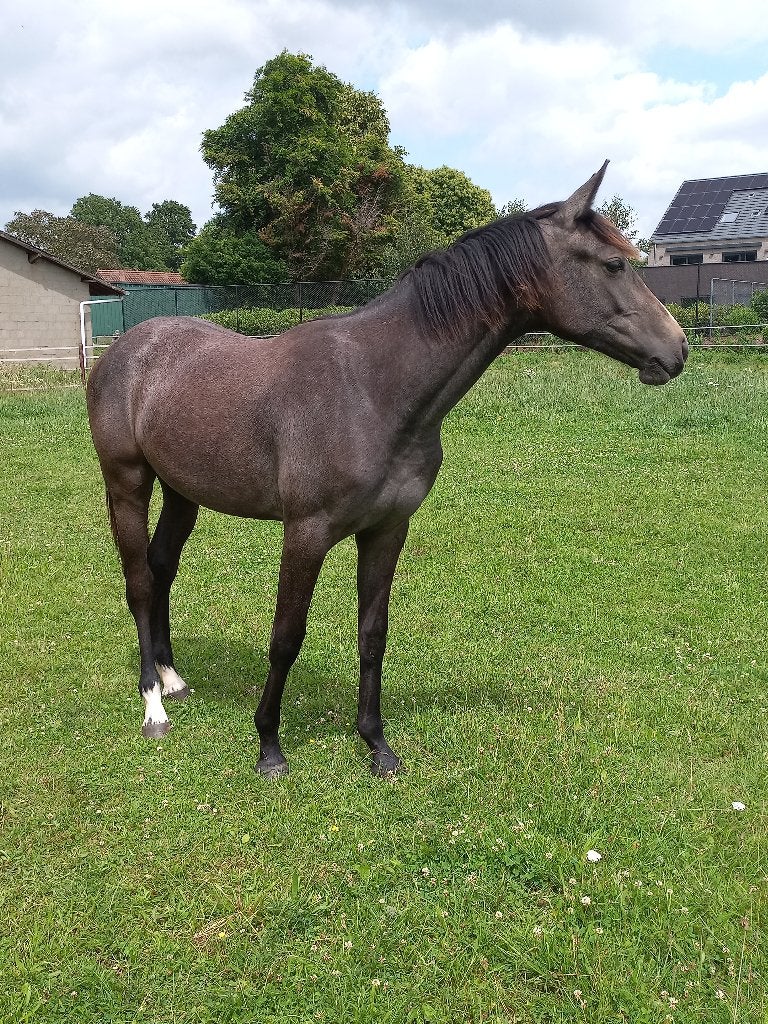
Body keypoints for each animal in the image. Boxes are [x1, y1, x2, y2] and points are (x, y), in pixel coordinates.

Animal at [86, 162, 687, 777]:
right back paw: (153, 706)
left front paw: (376, 744)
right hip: (127, 482)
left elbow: (373, 632)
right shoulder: (305, 534)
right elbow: (286, 636)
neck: (373, 388)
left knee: (161, 568)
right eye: (613, 264)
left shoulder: (387, 529)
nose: (678, 349)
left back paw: (171, 677)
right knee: (139, 581)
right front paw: (269, 746)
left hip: (184, 491)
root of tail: (128, 346)